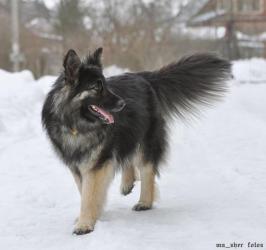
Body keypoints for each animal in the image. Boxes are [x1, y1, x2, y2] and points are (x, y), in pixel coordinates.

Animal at [41, 47, 231, 234]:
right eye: (96, 87)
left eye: (106, 85)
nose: (122, 104)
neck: (75, 125)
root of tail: (145, 77)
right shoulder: (77, 165)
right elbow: (85, 191)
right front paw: (93, 215)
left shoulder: (97, 163)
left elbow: (88, 194)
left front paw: (85, 223)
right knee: (127, 156)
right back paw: (128, 183)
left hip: (146, 141)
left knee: (147, 169)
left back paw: (144, 202)